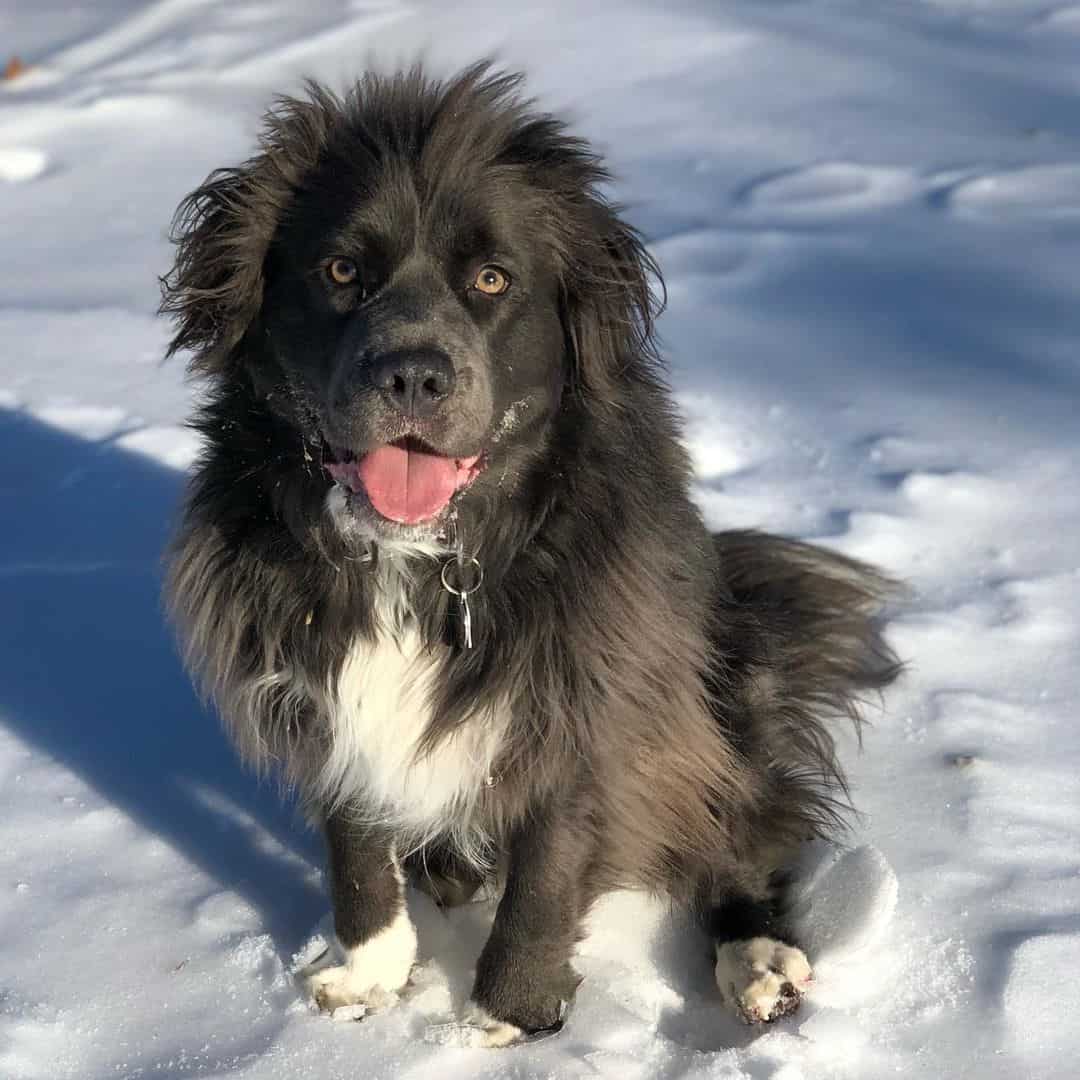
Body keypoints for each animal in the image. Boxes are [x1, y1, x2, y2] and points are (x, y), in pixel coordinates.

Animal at [162, 63, 902, 1041]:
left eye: (491, 278)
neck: (422, 560)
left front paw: (505, 1017)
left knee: (738, 822)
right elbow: (356, 842)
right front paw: (367, 976)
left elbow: (549, 868)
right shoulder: (316, 677)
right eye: (340, 271)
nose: (412, 374)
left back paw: (757, 959)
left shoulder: (591, 693)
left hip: (719, 689)